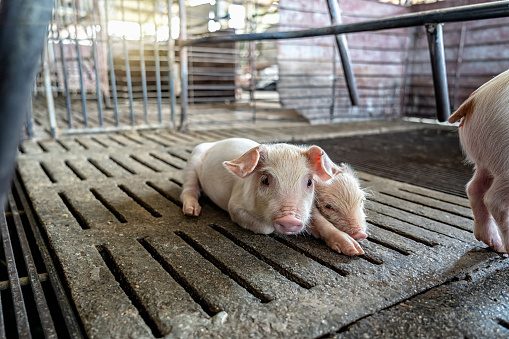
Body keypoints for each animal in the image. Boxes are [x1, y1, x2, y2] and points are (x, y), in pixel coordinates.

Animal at [181, 138, 336, 236]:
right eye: (265, 180)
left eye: (309, 182)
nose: (289, 220)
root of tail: (213, 143)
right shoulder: (235, 207)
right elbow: (265, 228)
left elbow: (321, 221)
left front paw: (344, 247)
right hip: (191, 163)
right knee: (188, 189)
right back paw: (192, 211)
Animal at [448, 69, 508, 255]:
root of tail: (475, 99)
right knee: (494, 200)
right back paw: (505, 249)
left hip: (487, 158)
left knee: (474, 188)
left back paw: (495, 245)